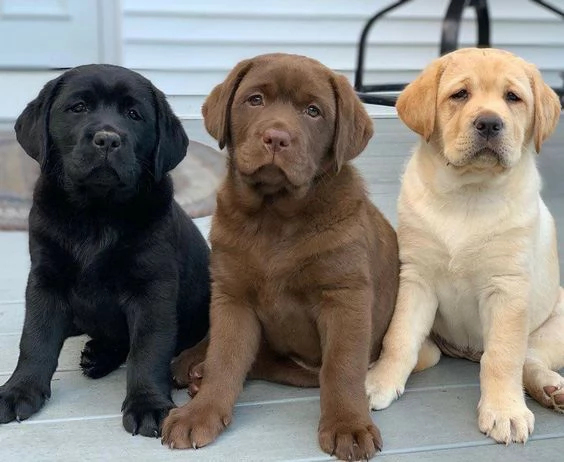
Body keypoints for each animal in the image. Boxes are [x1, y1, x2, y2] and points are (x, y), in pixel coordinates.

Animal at [0, 65, 210, 436]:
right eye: (78, 107)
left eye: (134, 115)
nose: (108, 139)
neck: (97, 213)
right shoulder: (45, 280)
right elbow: (35, 338)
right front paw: (19, 390)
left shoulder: (152, 288)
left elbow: (148, 348)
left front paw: (148, 403)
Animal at [364, 47, 560, 444]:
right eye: (460, 95)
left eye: (512, 98)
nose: (489, 123)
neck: (468, 193)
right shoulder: (416, 278)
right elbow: (398, 338)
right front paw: (380, 382)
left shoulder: (507, 287)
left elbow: (503, 356)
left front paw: (504, 411)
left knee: (529, 358)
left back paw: (551, 389)